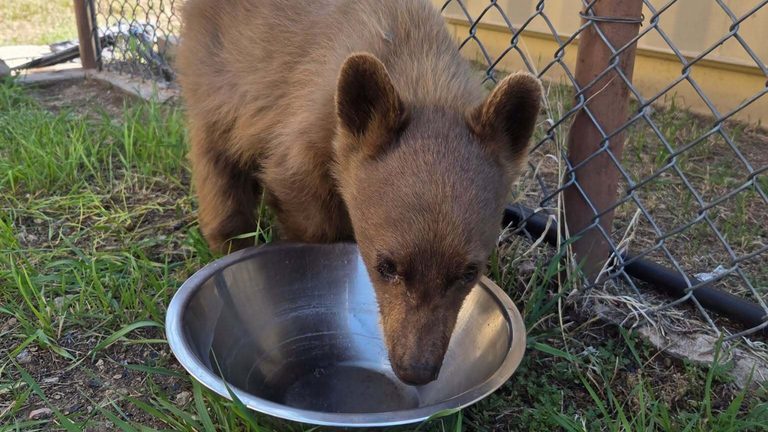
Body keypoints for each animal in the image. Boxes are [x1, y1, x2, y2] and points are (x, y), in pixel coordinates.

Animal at [177, 0, 542, 385]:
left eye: (469, 273)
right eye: (386, 266)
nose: (416, 371)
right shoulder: (302, 132)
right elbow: (309, 214)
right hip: (218, 72)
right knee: (216, 153)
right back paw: (230, 239)